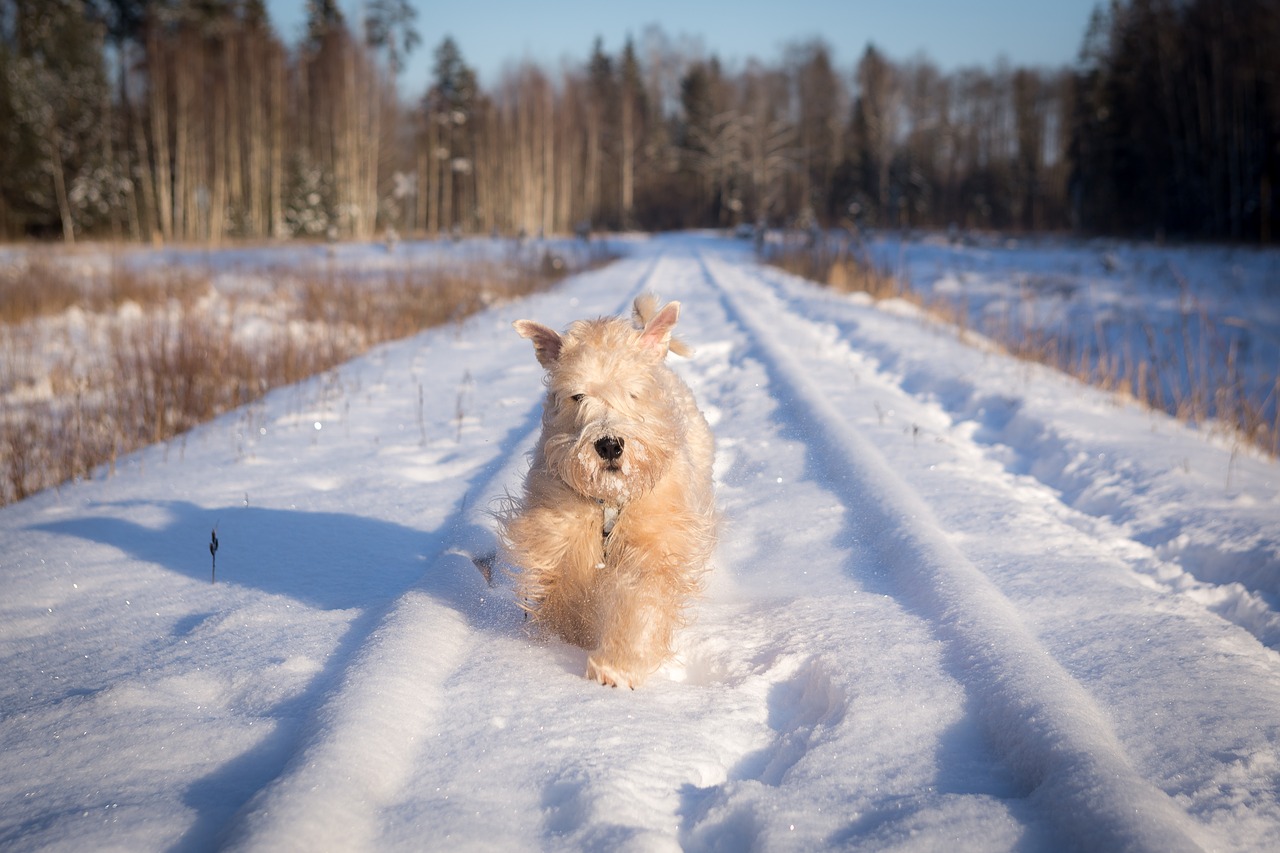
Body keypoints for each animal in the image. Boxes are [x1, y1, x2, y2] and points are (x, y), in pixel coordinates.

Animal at [499, 295, 721, 686]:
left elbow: (643, 600)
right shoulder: (560, 538)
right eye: (577, 395)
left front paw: (616, 667)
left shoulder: (656, 539)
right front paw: (574, 639)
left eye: (633, 393)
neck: (610, 501)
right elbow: (566, 591)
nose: (609, 445)